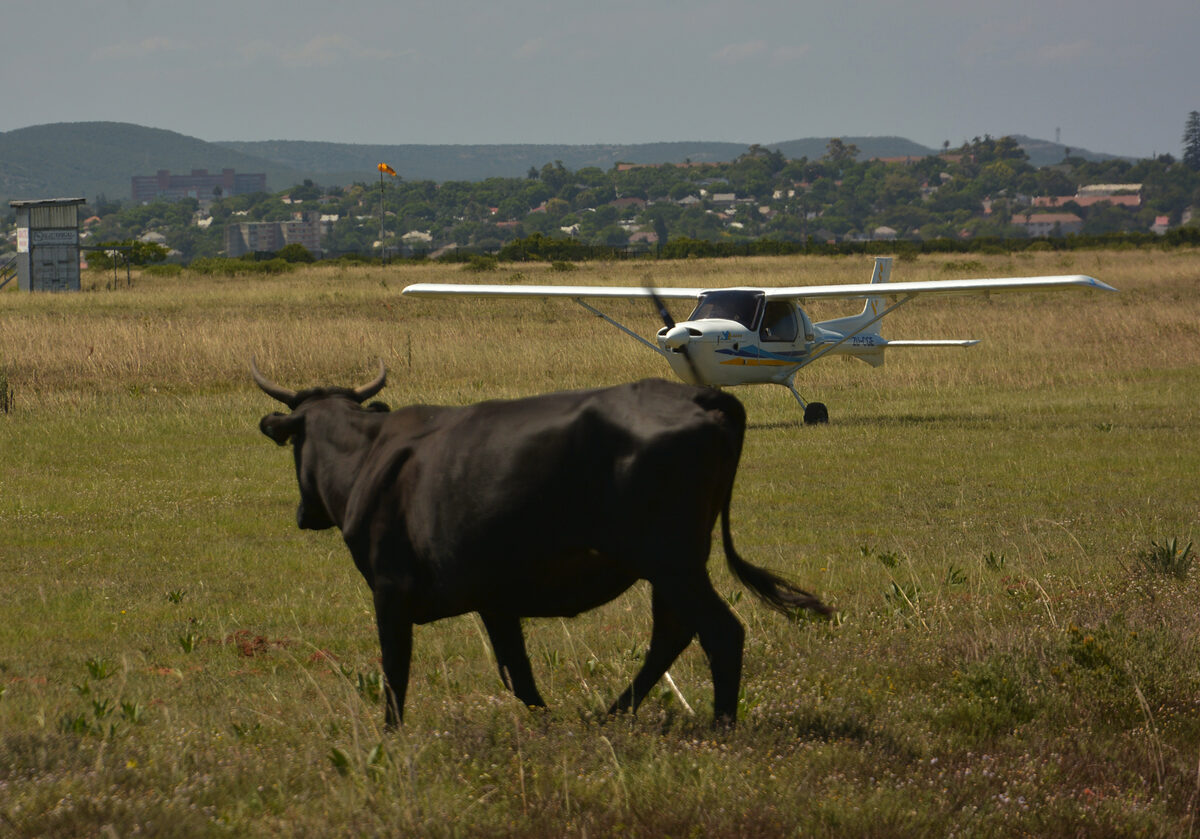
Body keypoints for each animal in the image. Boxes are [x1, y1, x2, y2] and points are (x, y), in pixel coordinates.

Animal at [252, 360, 832, 727]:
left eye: (295, 443)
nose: (305, 515)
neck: (366, 456)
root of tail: (698, 394)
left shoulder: (388, 590)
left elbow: (396, 674)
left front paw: (390, 740)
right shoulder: (494, 599)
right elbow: (519, 675)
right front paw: (548, 723)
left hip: (672, 562)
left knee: (719, 633)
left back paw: (720, 727)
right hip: (672, 566)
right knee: (671, 635)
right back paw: (612, 714)